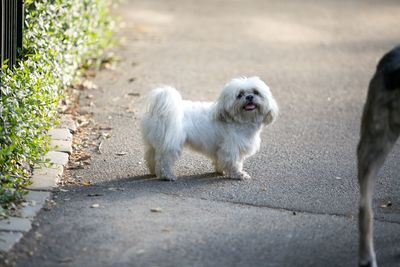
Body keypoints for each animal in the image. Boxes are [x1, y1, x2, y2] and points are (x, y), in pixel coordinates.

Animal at [141, 77, 278, 182]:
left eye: (256, 92)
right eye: (239, 95)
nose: (249, 97)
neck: (240, 120)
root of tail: (160, 111)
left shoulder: (220, 148)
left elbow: (220, 160)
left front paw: (220, 170)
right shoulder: (232, 147)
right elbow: (233, 163)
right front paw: (238, 174)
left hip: (156, 143)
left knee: (151, 157)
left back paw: (154, 172)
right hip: (171, 144)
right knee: (164, 161)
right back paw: (167, 176)